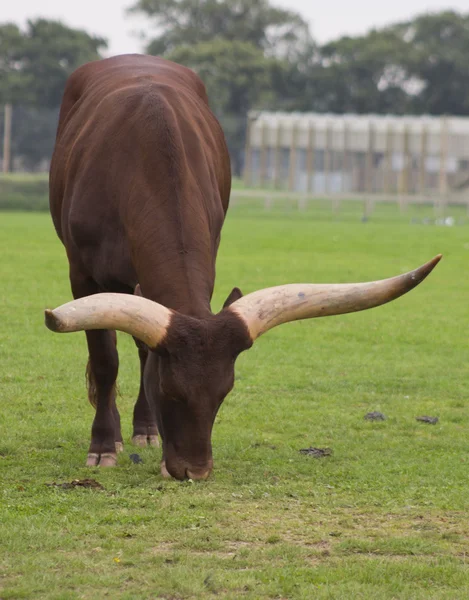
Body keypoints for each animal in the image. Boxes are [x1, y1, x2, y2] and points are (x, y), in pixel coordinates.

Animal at [45, 54, 440, 480]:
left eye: (225, 391)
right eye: (168, 389)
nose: (194, 471)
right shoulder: (81, 274)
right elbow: (105, 361)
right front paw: (102, 446)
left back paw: (146, 430)